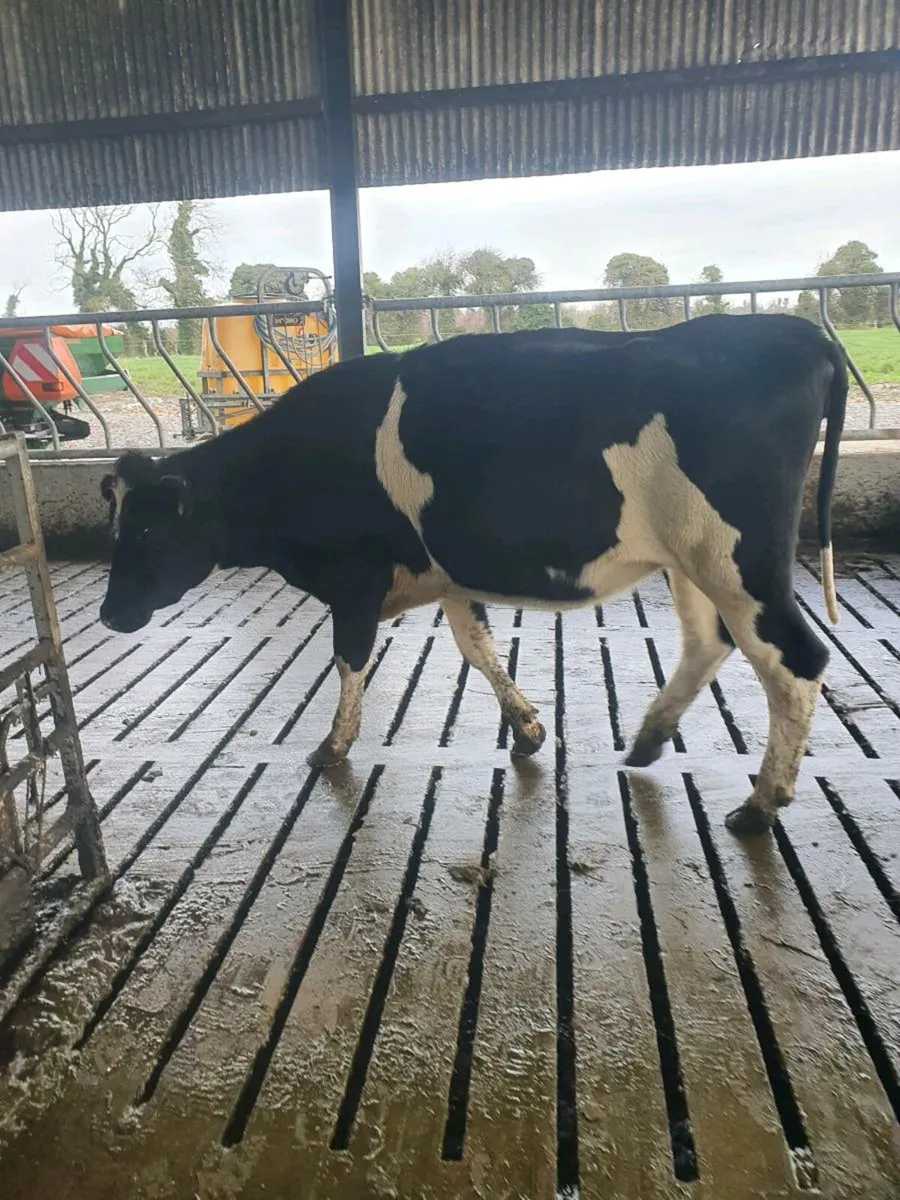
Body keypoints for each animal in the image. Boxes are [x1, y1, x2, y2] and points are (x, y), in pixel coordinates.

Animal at [99, 314, 847, 836]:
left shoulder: (354, 579)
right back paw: (648, 740)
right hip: (691, 558)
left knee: (794, 659)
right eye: (116, 521)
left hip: (736, 557)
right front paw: (529, 730)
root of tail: (797, 332)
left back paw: (760, 804)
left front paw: (332, 747)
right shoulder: (450, 577)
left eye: (147, 530)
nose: (110, 614)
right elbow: (477, 649)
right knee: (708, 642)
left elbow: (349, 660)